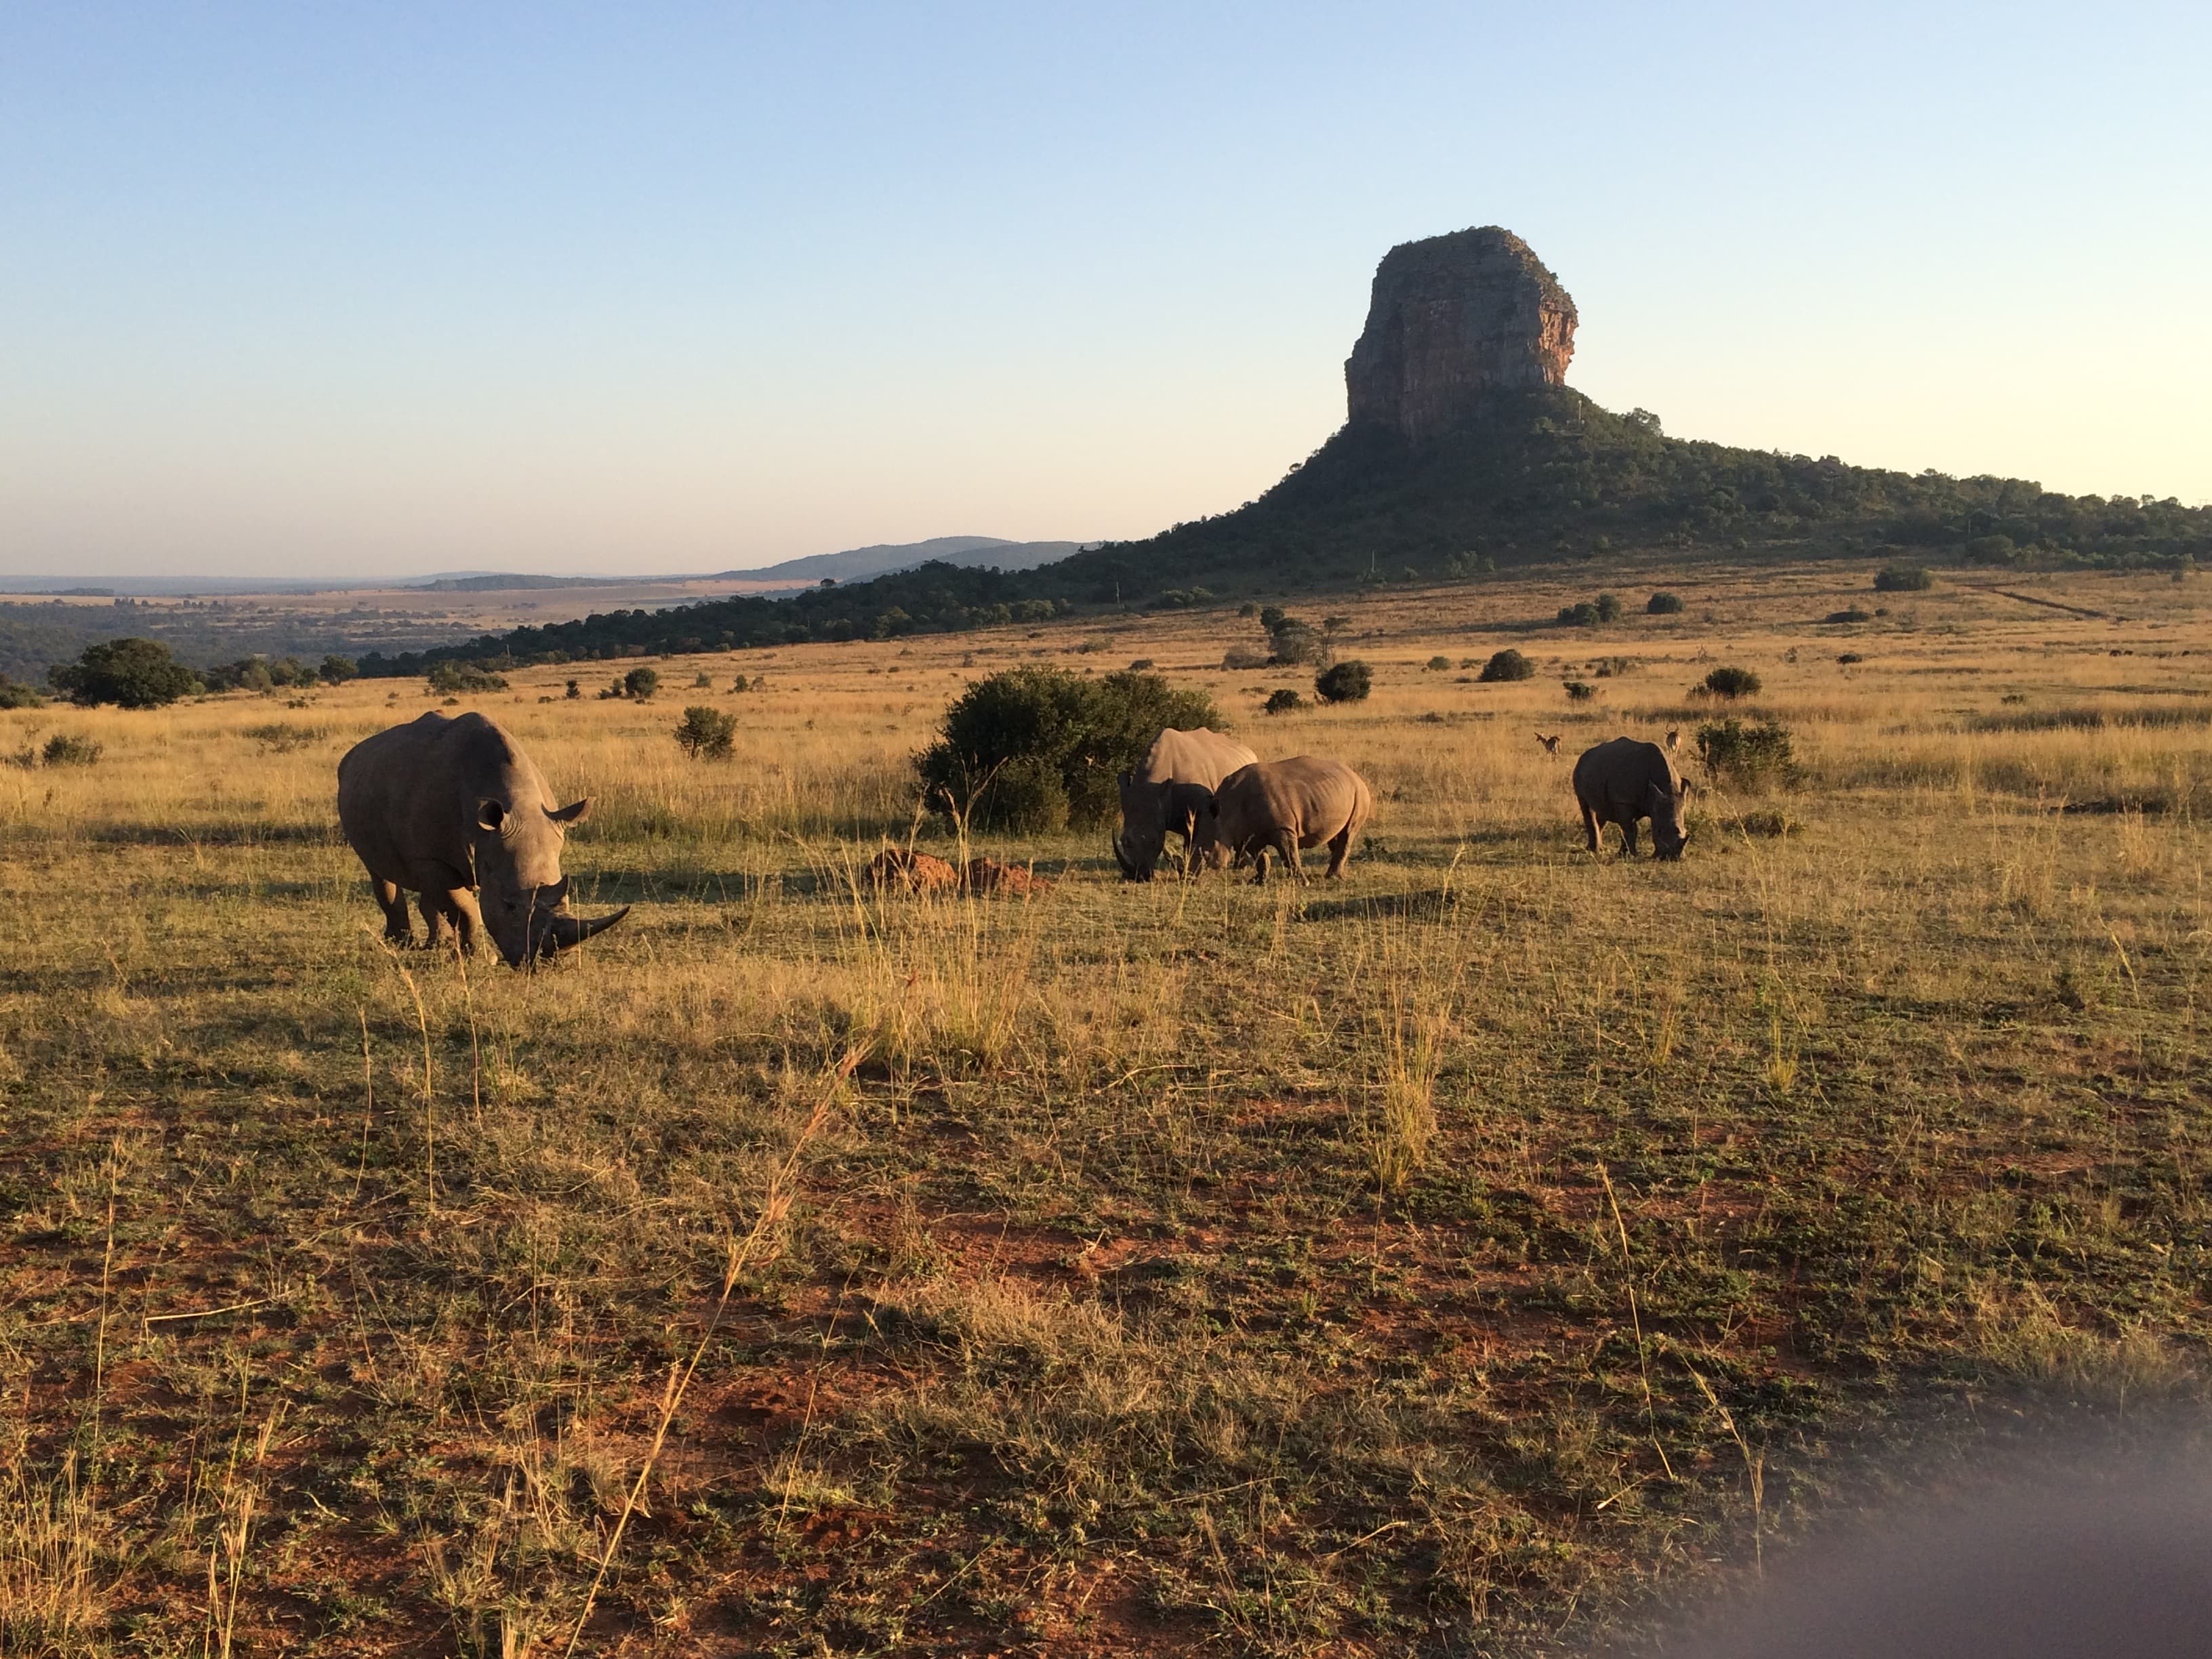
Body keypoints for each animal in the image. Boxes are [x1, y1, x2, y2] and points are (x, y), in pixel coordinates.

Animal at [337, 711, 630, 965]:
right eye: (509, 906)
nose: (549, 961)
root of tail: (355, 752)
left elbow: (455, 902)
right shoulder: (431, 858)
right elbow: (465, 907)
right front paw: (478, 957)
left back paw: (437, 944)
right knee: (379, 872)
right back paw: (401, 943)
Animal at [1113, 727, 1259, 881]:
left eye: (1155, 841)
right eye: (1123, 841)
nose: (1139, 876)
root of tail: (1249, 751)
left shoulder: (1199, 809)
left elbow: (1193, 843)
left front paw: (1191, 873)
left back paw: (1242, 866)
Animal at [1192, 756, 1373, 883]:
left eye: (1207, 853)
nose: (1192, 878)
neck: (1226, 812)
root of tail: (1354, 774)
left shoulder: (1282, 828)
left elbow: (1289, 854)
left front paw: (1302, 883)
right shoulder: (1249, 833)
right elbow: (1260, 857)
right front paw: (1257, 881)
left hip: (1360, 793)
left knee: (1348, 833)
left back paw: (1332, 877)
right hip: (1335, 792)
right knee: (1335, 834)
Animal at [1572, 736, 1691, 859]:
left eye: (1687, 832)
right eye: (1659, 831)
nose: (1673, 858)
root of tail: (1583, 756)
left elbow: (1627, 829)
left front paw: (1624, 854)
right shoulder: (1623, 801)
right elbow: (1630, 830)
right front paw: (1632, 855)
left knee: (1601, 810)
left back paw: (1601, 849)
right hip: (1578, 771)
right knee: (1586, 807)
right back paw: (1594, 850)